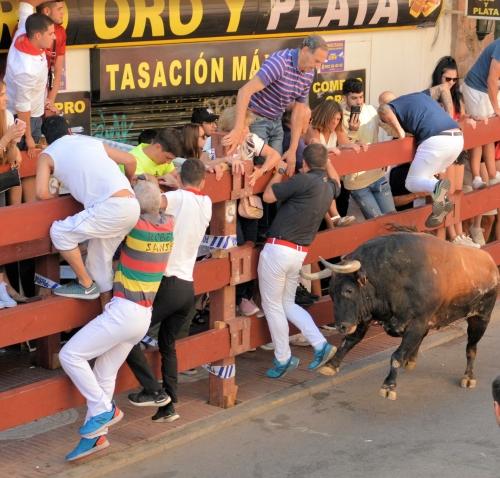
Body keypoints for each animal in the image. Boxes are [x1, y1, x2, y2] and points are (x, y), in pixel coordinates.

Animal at [302, 232, 498, 400]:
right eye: (330, 292)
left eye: (348, 290)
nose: (340, 326)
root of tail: (490, 263)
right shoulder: (365, 317)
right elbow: (349, 341)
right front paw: (330, 366)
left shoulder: (416, 323)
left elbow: (396, 355)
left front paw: (388, 386)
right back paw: (411, 361)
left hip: (481, 318)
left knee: (471, 348)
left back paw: (468, 377)